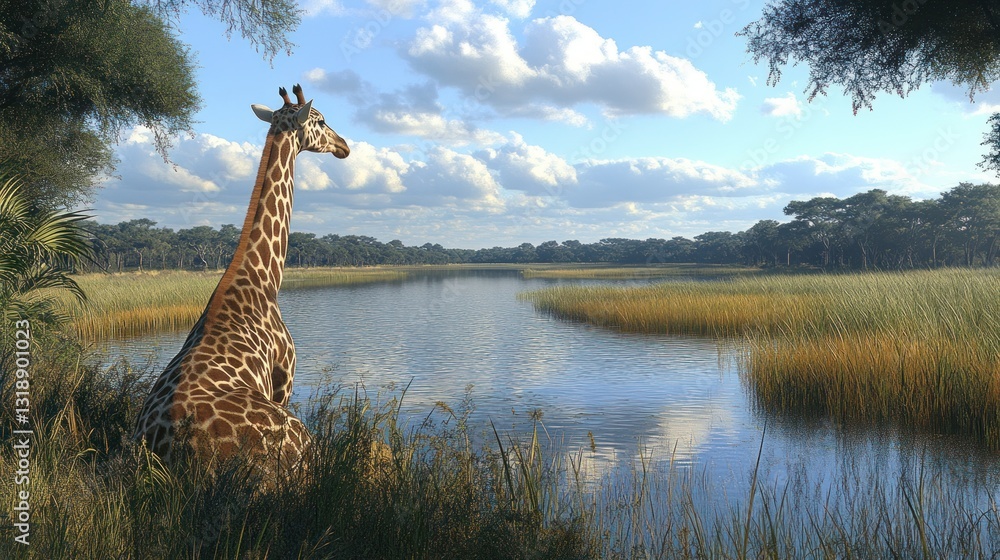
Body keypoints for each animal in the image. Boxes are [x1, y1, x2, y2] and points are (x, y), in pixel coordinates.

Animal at [133, 84, 350, 473]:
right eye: (322, 121)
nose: (344, 146)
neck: (263, 280)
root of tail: (181, 454)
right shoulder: (284, 378)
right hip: (302, 445)